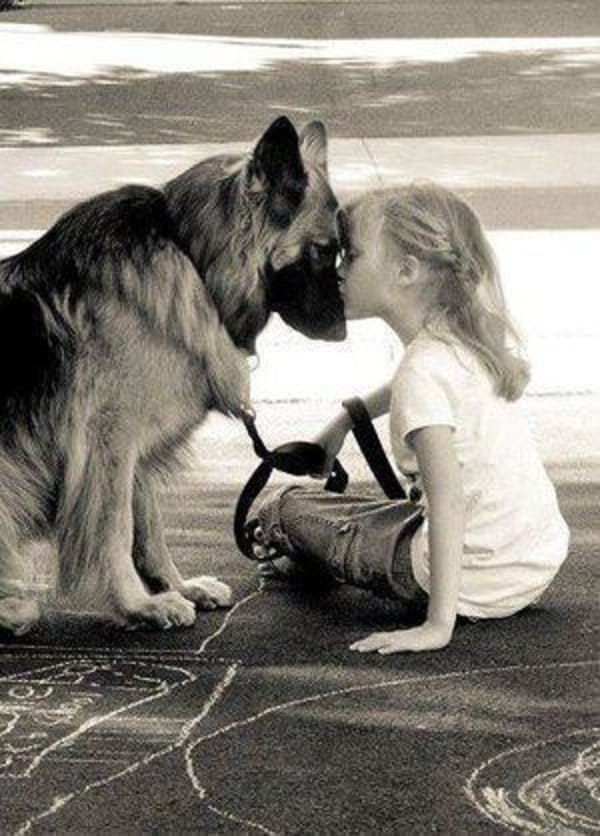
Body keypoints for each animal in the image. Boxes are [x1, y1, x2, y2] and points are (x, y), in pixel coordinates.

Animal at [0, 116, 344, 632]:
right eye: (324, 251)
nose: (344, 329)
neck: (194, 257)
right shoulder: (109, 443)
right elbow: (117, 529)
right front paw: (136, 604)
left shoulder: (134, 451)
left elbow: (151, 529)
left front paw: (175, 587)